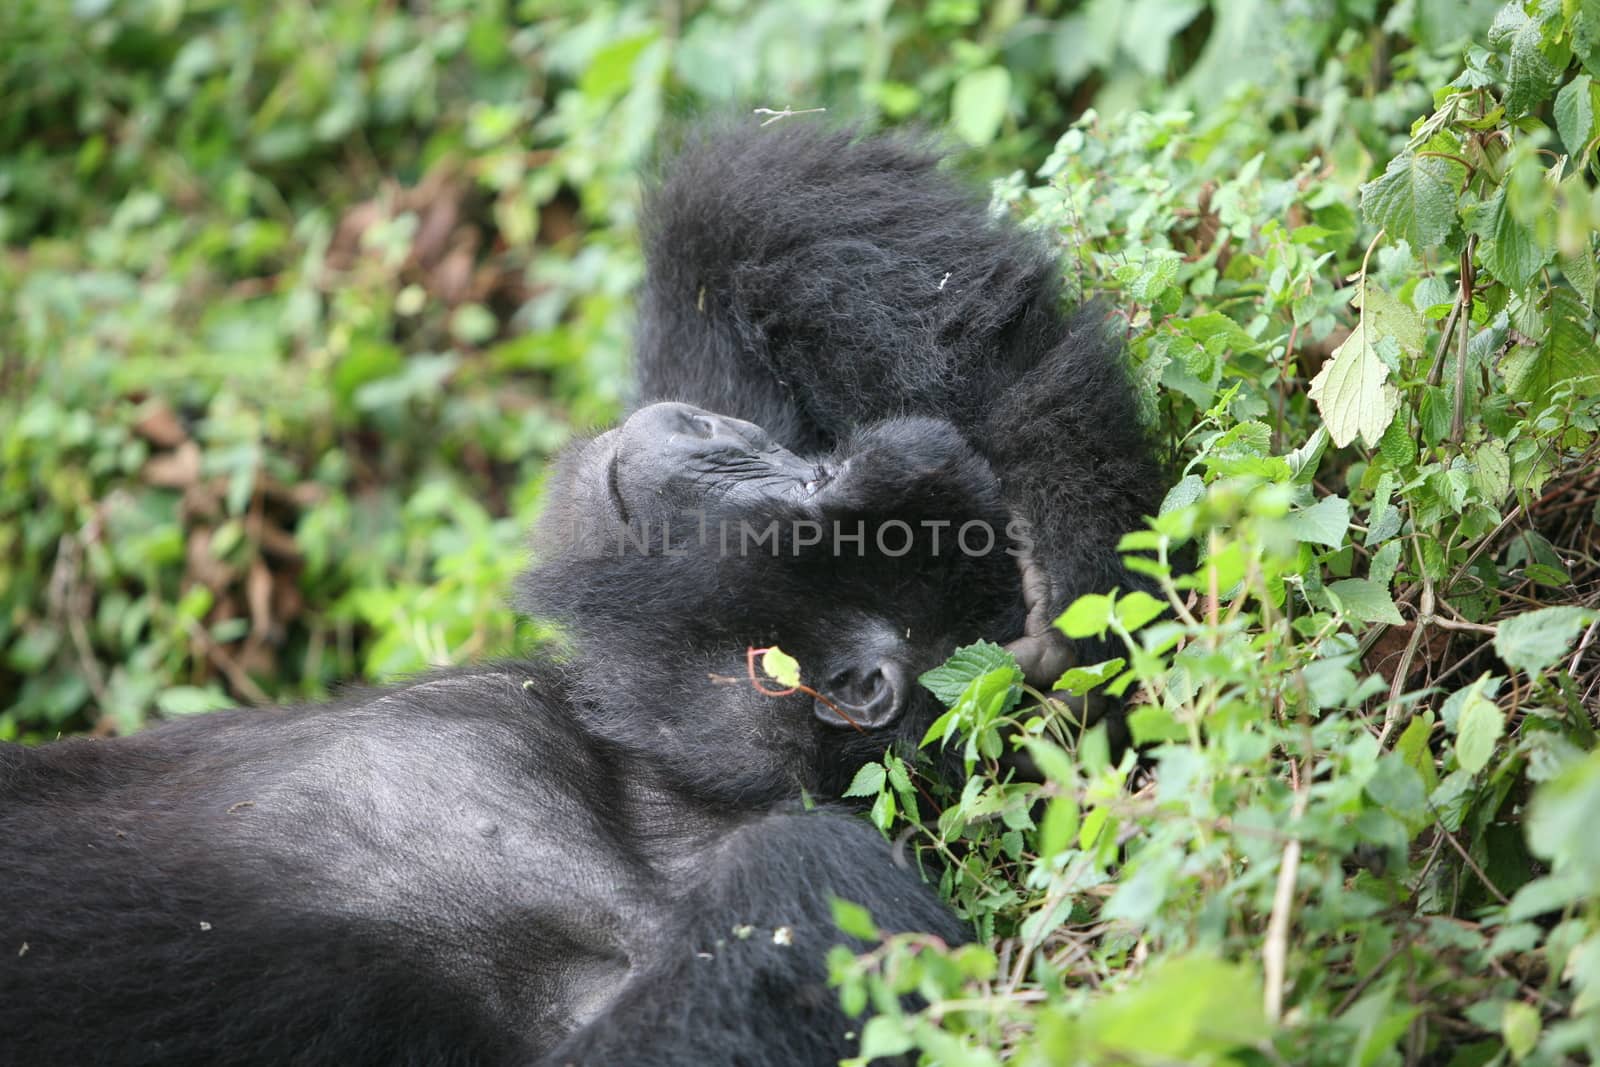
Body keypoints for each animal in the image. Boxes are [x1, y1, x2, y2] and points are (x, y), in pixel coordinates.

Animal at [0, 123, 1158, 1067]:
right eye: (812, 455)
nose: (714, 428)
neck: (653, 791)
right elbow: (734, 224)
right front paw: (1076, 535)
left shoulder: (790, 893)